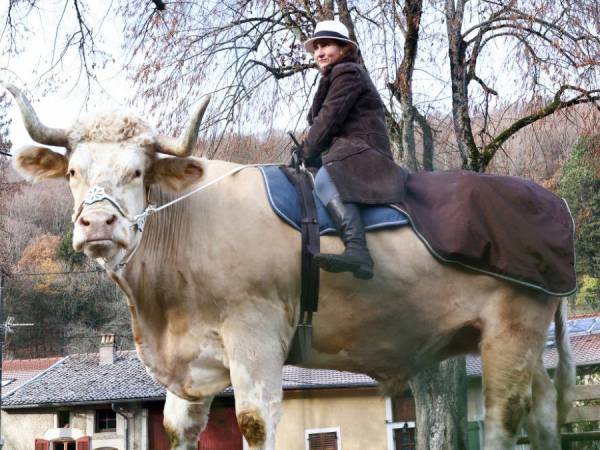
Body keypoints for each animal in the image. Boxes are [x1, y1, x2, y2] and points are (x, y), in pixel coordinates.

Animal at [5, 83, 576, 446]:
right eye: (73, 172)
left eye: (138, 171)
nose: (98, 224)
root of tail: (549, 201)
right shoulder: (192, 365)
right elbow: (178, 430)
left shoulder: (255, 339)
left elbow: (255, 425)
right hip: (519, 339)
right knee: (544, 413)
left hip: (512, 328)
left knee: (504, 421)